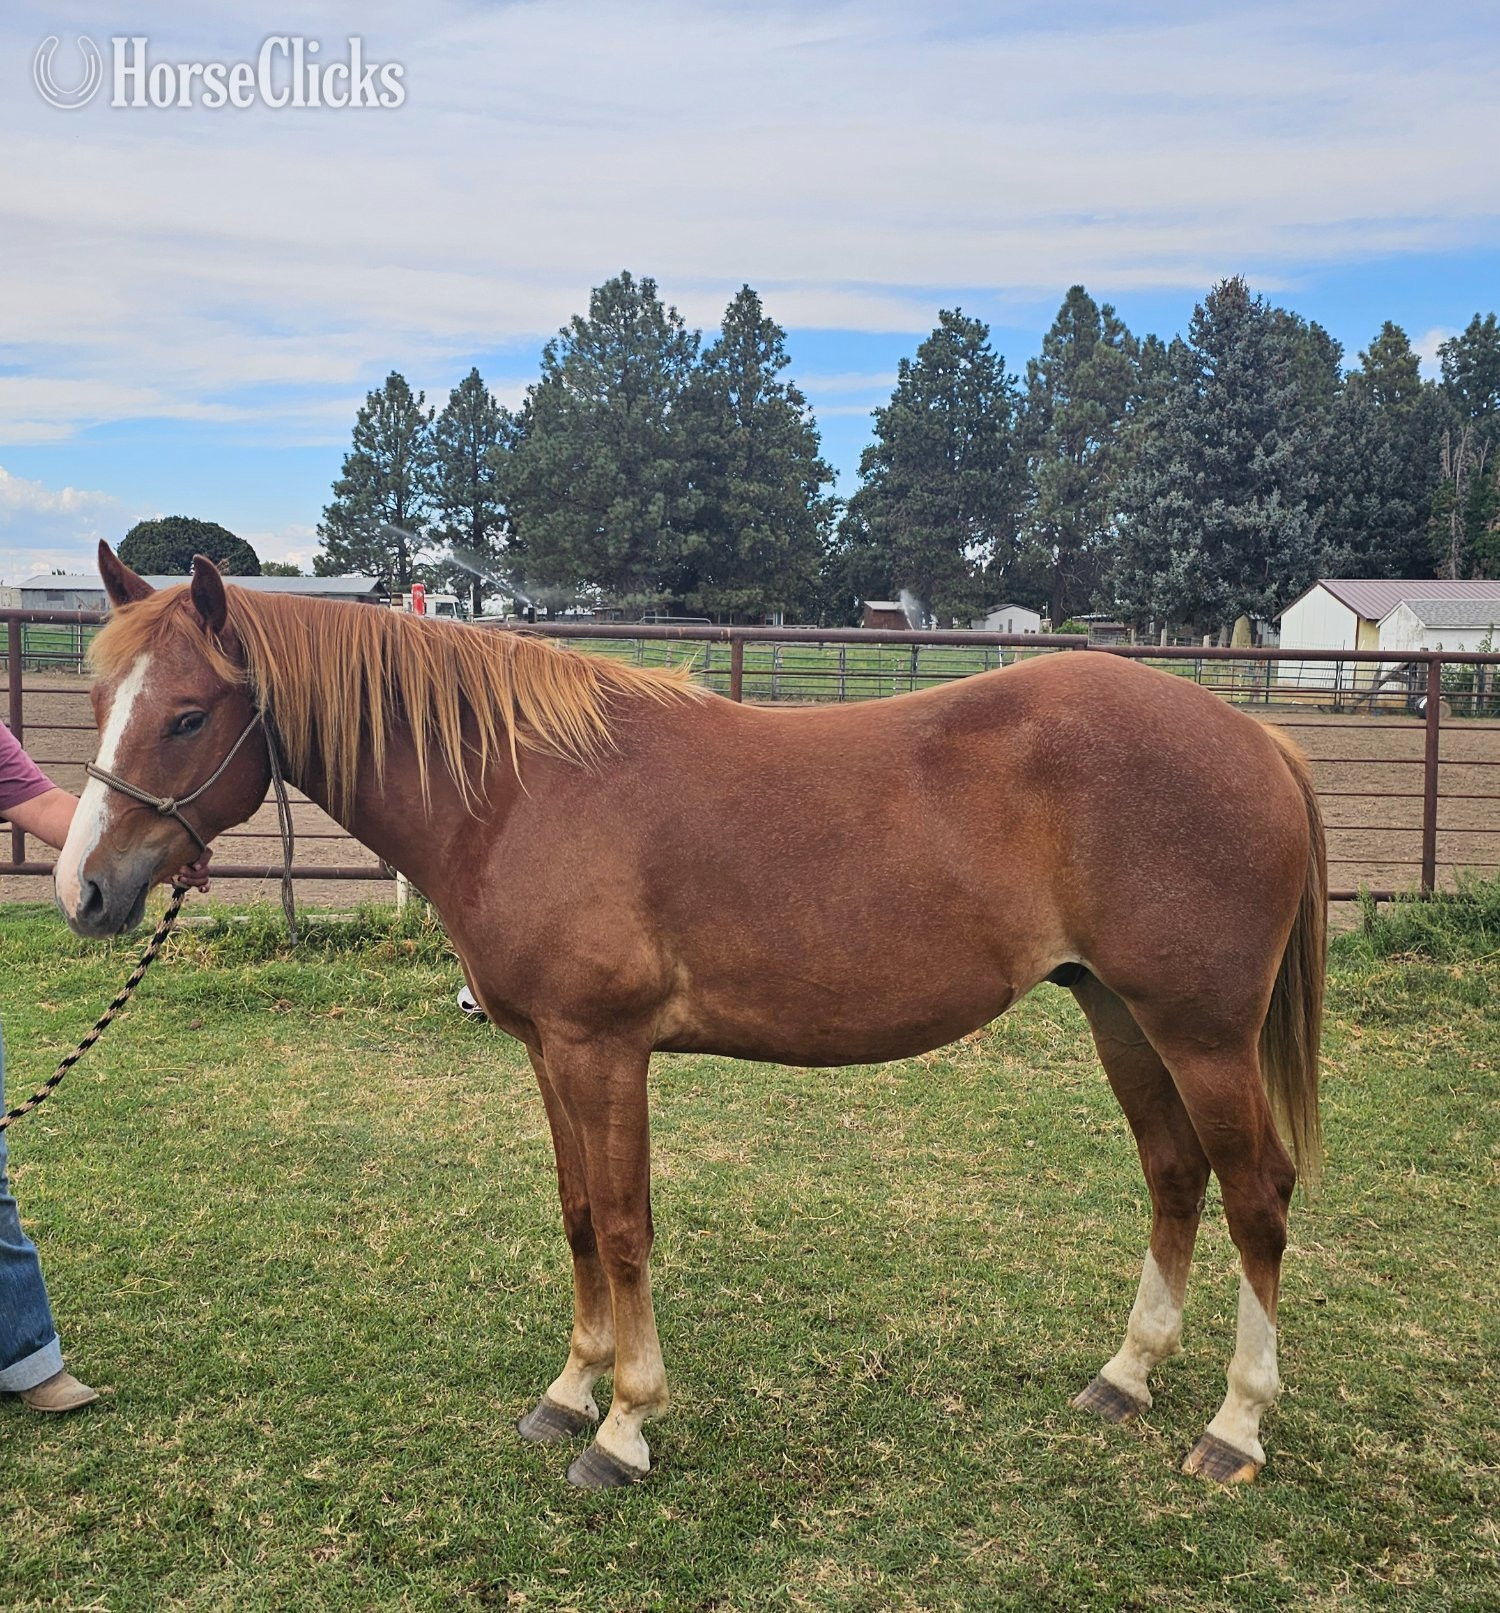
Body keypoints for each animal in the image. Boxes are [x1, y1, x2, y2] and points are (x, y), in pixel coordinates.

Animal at [56, 545, 1325, 1490]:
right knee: (1175, 1175)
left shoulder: (605, 1051)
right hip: (1122, 1014)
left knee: (1256, 1196)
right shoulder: (551, 1054)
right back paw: (1127, 1374)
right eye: (98, 699)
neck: (519, 787)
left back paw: (1236, 1423)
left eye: (184, 715)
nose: (84, 890)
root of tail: (1256, 737)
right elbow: (576, 1214)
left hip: (1201, 1031)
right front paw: (568, 1392)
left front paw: (625, 1425)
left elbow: (624, 1227)